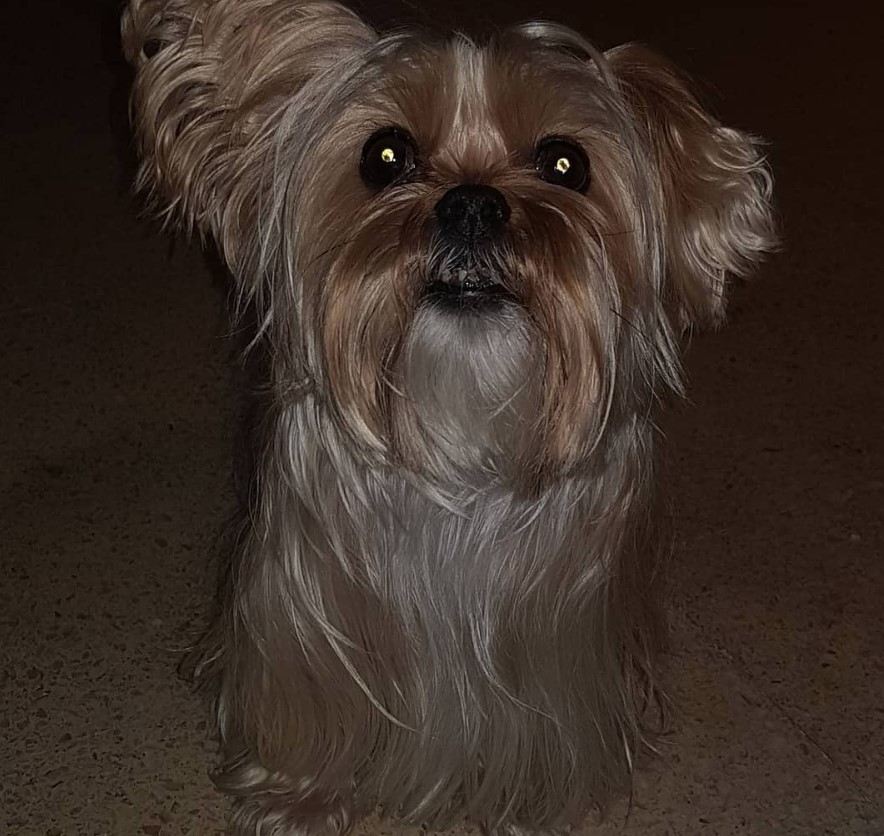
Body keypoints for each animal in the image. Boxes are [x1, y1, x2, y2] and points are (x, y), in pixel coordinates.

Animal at [122, 3, 772, 832]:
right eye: (385, 155)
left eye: (566, 164)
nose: (471, 202)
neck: (464, 416)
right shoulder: (306, 612)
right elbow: (309, 707)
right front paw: (297, 797)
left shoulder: (557, 648)